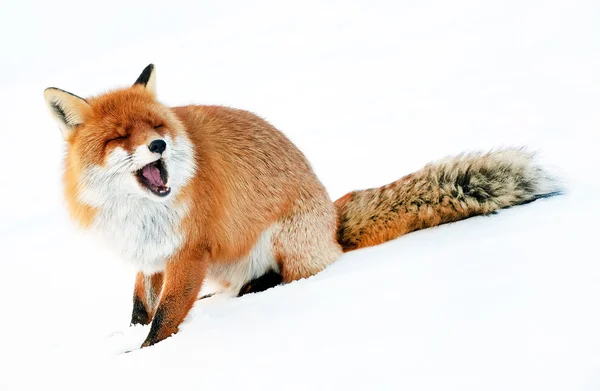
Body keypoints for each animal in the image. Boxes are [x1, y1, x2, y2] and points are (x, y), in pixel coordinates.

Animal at [43, 65, 564, 350]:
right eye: (118, 137)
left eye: (156, 126)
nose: (157, 146)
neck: (140, 212)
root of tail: (333, 223)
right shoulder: (150, 256)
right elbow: (140, 307)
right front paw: (127, 337)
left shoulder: (189, 252)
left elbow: (164, 319)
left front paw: (140, 356)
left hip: (283, 242)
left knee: (297, 275)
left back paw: (260, 288)